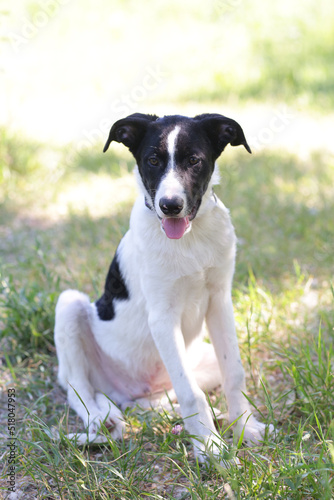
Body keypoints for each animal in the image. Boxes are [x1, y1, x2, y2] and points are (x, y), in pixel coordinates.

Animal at [54, 112, 268, 460]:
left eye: (194, 160)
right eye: (152, 160)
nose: (170, 205)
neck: (191, 240)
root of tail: (126, 390)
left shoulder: (220, 301)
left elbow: (234, 374)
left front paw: (244, 428)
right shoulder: (162, 318)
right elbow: (191, 392)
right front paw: (210, 447)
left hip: (198, 361)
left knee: (150, 401)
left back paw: (173, 414)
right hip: (70, 304)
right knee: (78, 388)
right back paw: (102, 419)